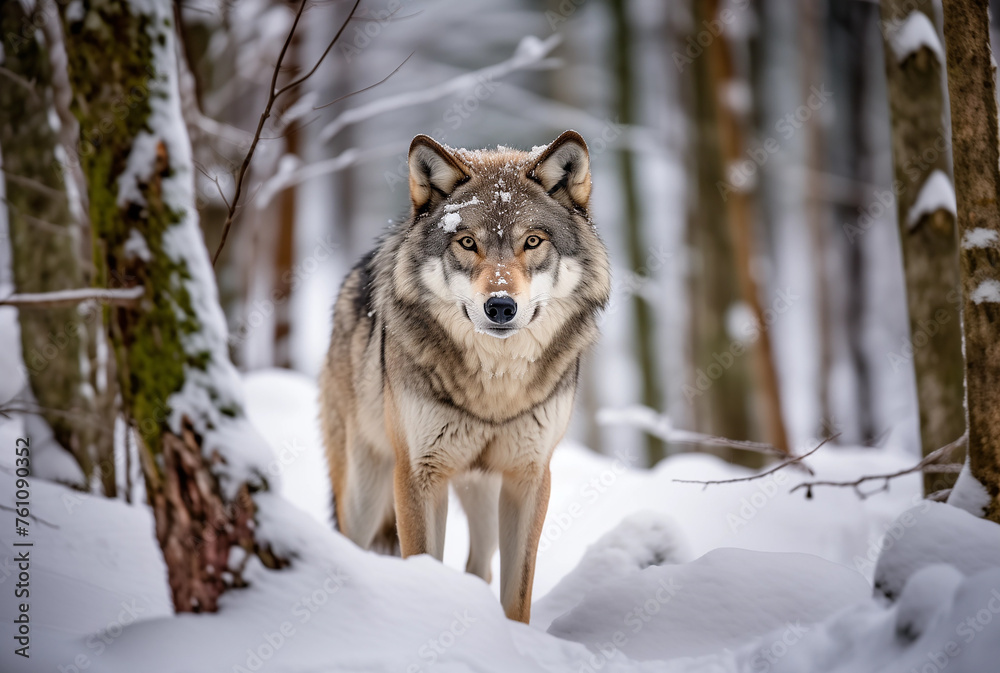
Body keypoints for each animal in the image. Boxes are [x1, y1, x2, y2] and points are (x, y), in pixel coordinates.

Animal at [319, 130, 610, 622]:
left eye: (533, 241)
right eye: (468, 242)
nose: (501, 306)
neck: (495, 387)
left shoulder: (529, 476)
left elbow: (517, 594)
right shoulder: (418, 474)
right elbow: (422, 567)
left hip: (483, 493)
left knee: (480, 568)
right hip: (364, 492)